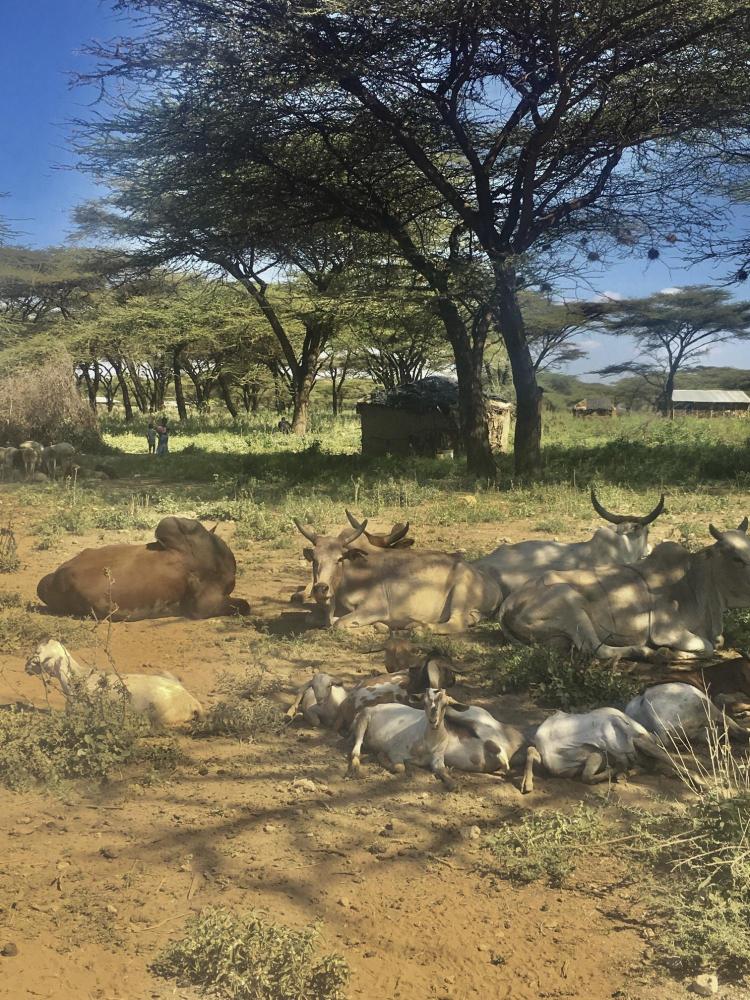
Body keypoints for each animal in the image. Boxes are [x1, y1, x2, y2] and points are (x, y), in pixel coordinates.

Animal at [294, 518, 502, 632]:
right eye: (314, 559)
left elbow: (338, 623)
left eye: (339, 559)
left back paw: (418, 627)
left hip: (460, 592)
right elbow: (310, 618)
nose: (321, 588)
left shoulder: (376, 607)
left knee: (457, 623)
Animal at [499, 518, 750, 662]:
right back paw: (645, 652)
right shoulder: (665, 630)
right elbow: (707, 646)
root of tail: (508, 603)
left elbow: (717, 643)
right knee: (595, 649)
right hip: (570, 604)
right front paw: (668, 653)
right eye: (736, 558)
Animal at [521, 707, 703, 793]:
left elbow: (587, 776)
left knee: (663, 760)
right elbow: (530, 751)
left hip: (642, 742)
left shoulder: (598, 752)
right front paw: (526, 785)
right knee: (650, 764)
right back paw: (624, 774)